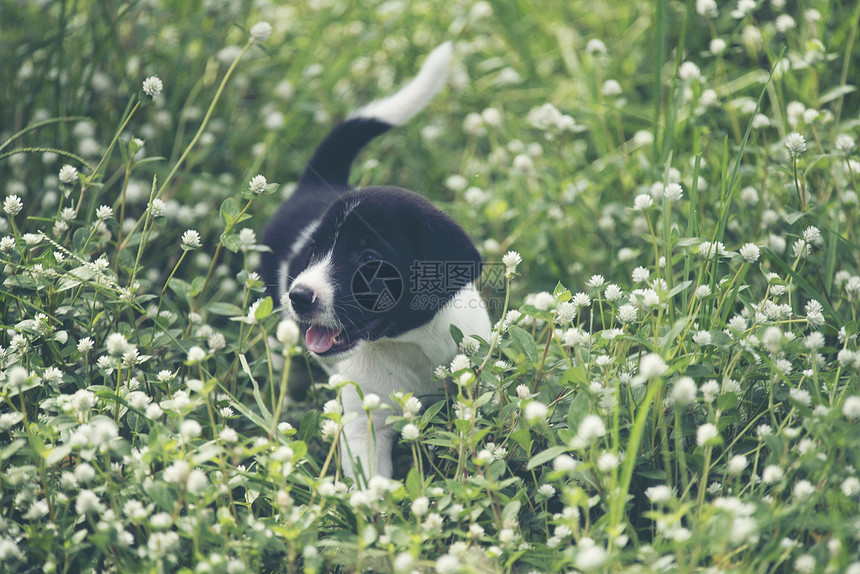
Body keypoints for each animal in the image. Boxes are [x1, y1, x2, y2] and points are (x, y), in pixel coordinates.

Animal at [262, 44, 490, 482]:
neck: (409, 346)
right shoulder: (364, 423)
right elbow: (374, 483)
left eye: (369, 259)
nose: (299, 296)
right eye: (315, 250)